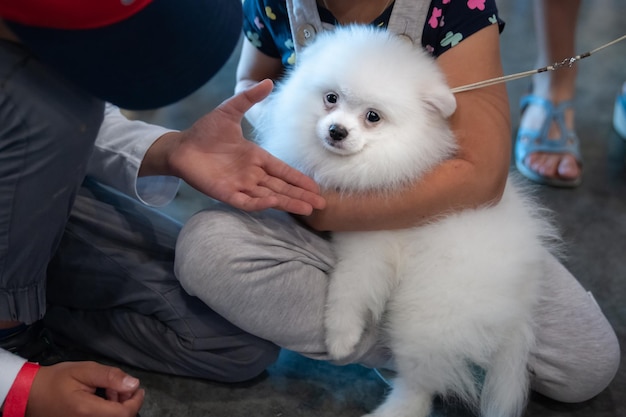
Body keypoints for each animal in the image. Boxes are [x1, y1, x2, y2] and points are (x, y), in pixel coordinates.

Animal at [254, 25, 556, 416]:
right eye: (331, 98)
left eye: (373, 117)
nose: (337, 131)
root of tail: (520, 307)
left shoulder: (369, 247)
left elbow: (346, 290)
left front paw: (340, 338)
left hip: (427, 314)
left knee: (421, 383)